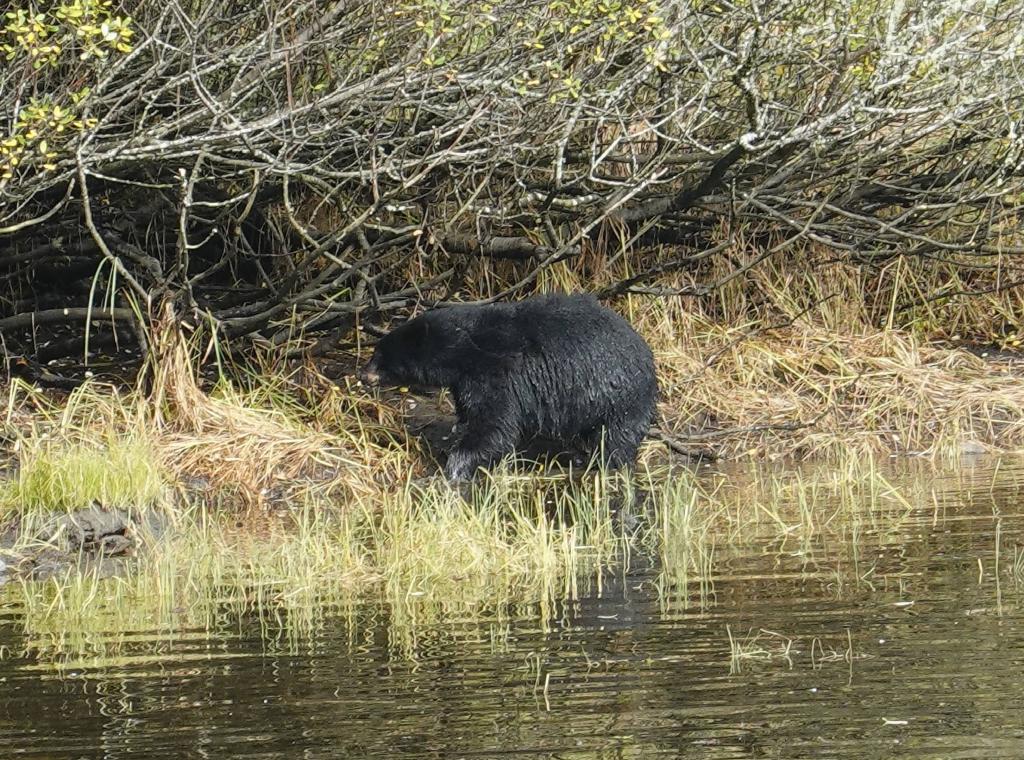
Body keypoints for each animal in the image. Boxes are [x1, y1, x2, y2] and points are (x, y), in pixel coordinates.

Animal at [362, 292, 655, 481]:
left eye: (379, 354)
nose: (363, 375)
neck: (462, 349)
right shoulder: (466, 381)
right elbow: (470, 412)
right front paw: (457, 433)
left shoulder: (497, 374)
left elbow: (495, 426)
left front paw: (458, 465)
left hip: (619, 400)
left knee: (616, 438)